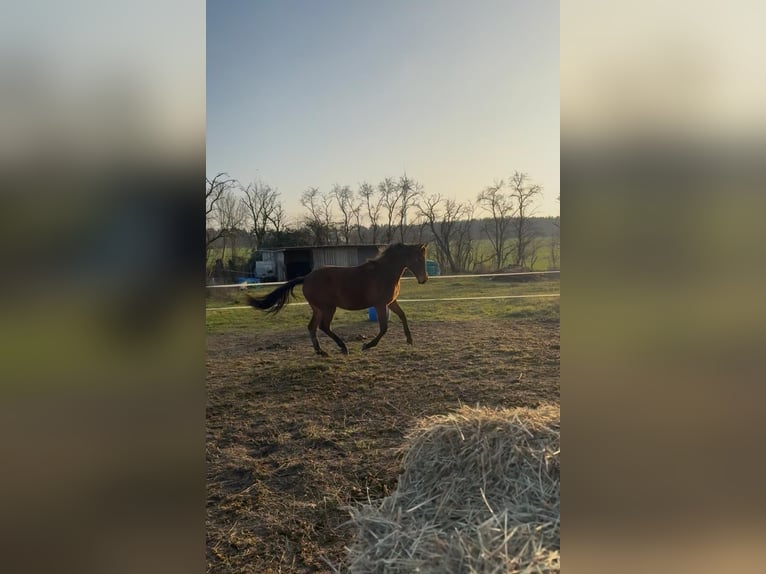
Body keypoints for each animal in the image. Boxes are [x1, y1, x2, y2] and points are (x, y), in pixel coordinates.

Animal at [246, 243, 429, 355]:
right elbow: (384, 328)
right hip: (328, 308)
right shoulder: (380, 304)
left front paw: (409, 340)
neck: (384, 273)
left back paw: (321, 352)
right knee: (323, 326)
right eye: (419, 259)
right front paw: (366, 345)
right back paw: (343, 347)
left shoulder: (390, 303)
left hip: (318, 309)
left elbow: (403, 316)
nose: (424, 279)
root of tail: (307, 277)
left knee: (312, 327)